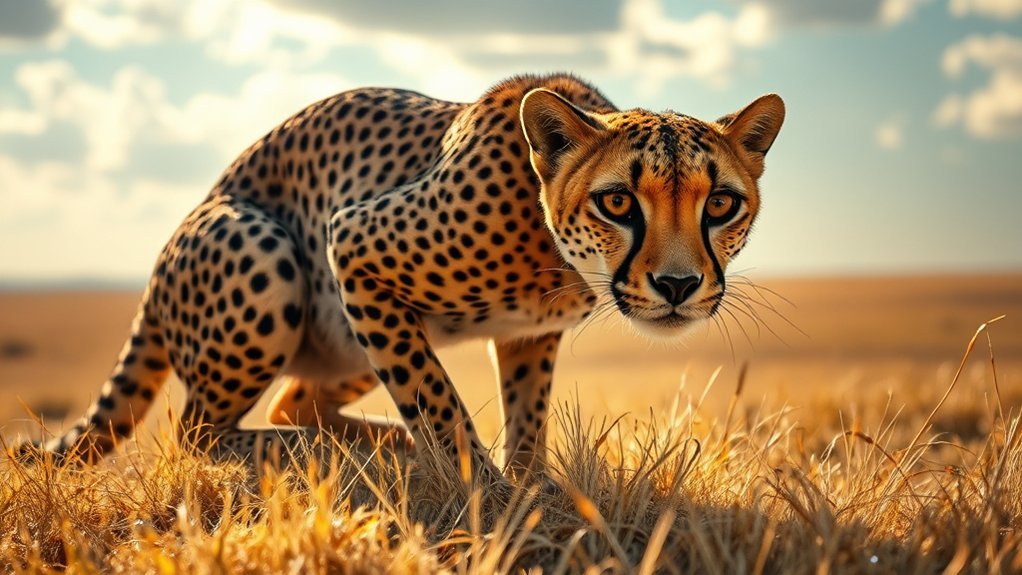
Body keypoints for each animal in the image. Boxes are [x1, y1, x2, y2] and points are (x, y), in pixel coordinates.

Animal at [13, 73, 784, 480]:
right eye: (618, 201)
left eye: (721, 203)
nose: (679, 286)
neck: (556, 258)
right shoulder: (352, 241)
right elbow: (437, 399)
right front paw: (487, 494)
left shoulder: (528, 336)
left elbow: (526, 415)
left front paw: (531, 488)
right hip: (269, 252)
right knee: (198, 433)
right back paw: (337, 456)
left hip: (345, 338)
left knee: (292, 400)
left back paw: (378, 445)